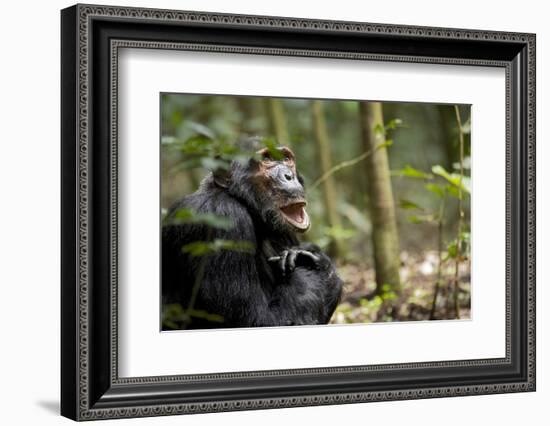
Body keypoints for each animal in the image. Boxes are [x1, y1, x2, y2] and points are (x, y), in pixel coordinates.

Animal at [161, 140, 344, 330]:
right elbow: (256, 320)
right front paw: (307, 263)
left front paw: (317, 258)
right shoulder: (223, 217)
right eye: (267, 159)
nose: (289, 176)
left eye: (286, 159)